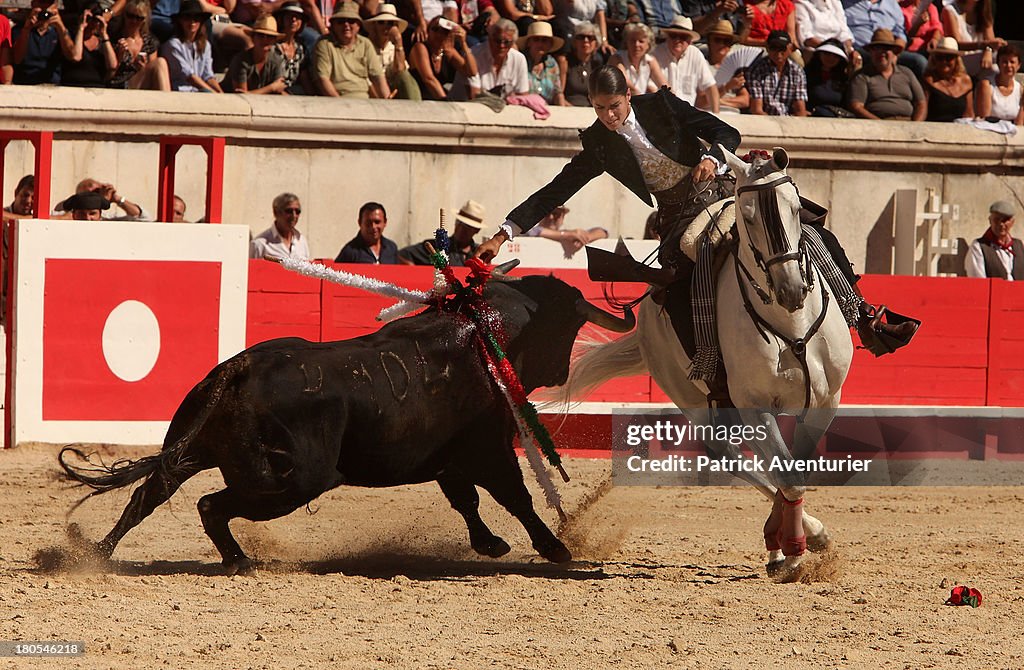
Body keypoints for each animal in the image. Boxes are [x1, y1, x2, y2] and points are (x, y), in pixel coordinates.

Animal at [61, 276, 630, 573]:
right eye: (569, 324)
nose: (561, 372)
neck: (481, 336)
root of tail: (238, 369)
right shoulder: (487, 447)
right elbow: (515, 496)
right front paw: (555, 548)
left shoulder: (448, 459)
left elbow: (465, 500)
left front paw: (491, 545)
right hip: (294, 479)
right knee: (209, 503)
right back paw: (238, 560)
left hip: (193, 448)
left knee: (150, 492)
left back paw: (96, 554)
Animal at [565, 148, 851, 581]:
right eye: (748, 217)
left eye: (795, 207)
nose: (791, 290)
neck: (791, 324)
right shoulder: (754, 404)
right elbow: (788, 475)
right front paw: (797, 550)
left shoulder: (826, 399)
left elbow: (793, 468)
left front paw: (787, 544)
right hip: (693, 397)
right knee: (726, 453)